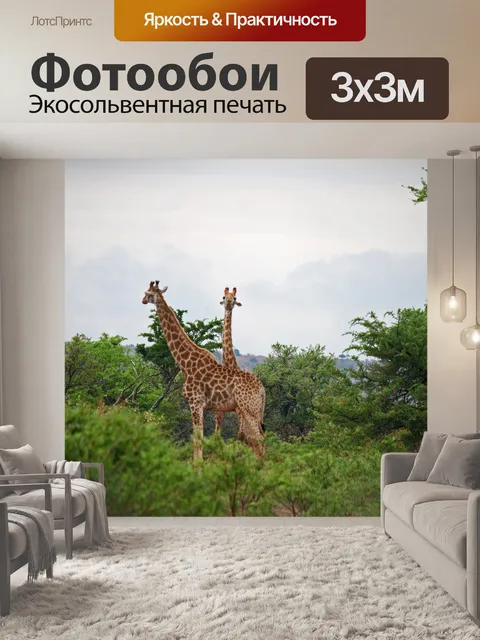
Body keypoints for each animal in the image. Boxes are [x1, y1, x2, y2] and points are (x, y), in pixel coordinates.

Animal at [142, 281, 266, 460]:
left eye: (147, 292)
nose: (143, 300)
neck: (185, 364)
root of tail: (262, 388)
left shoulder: (195, 402)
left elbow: (198, 439)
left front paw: (198, 466)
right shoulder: (210, 408)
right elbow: (207, 438)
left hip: (248, 409)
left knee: (257, 438)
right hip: (253, 410)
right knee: (256, 438)